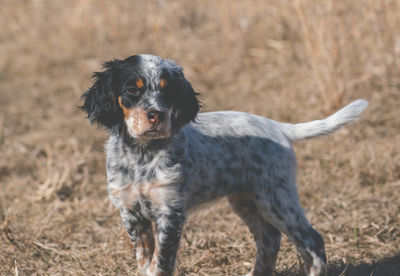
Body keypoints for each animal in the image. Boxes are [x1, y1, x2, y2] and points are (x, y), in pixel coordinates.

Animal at [81, 54, 368, 276]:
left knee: (312, 240)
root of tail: (278, 127)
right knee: (269, 239)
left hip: (276, 198)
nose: (157, 115)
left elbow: (159, 263)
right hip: (245, 199)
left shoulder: (170, 211)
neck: (142, 155)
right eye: (133, 89)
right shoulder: (131, 213)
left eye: (167, 90)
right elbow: (145, 261)